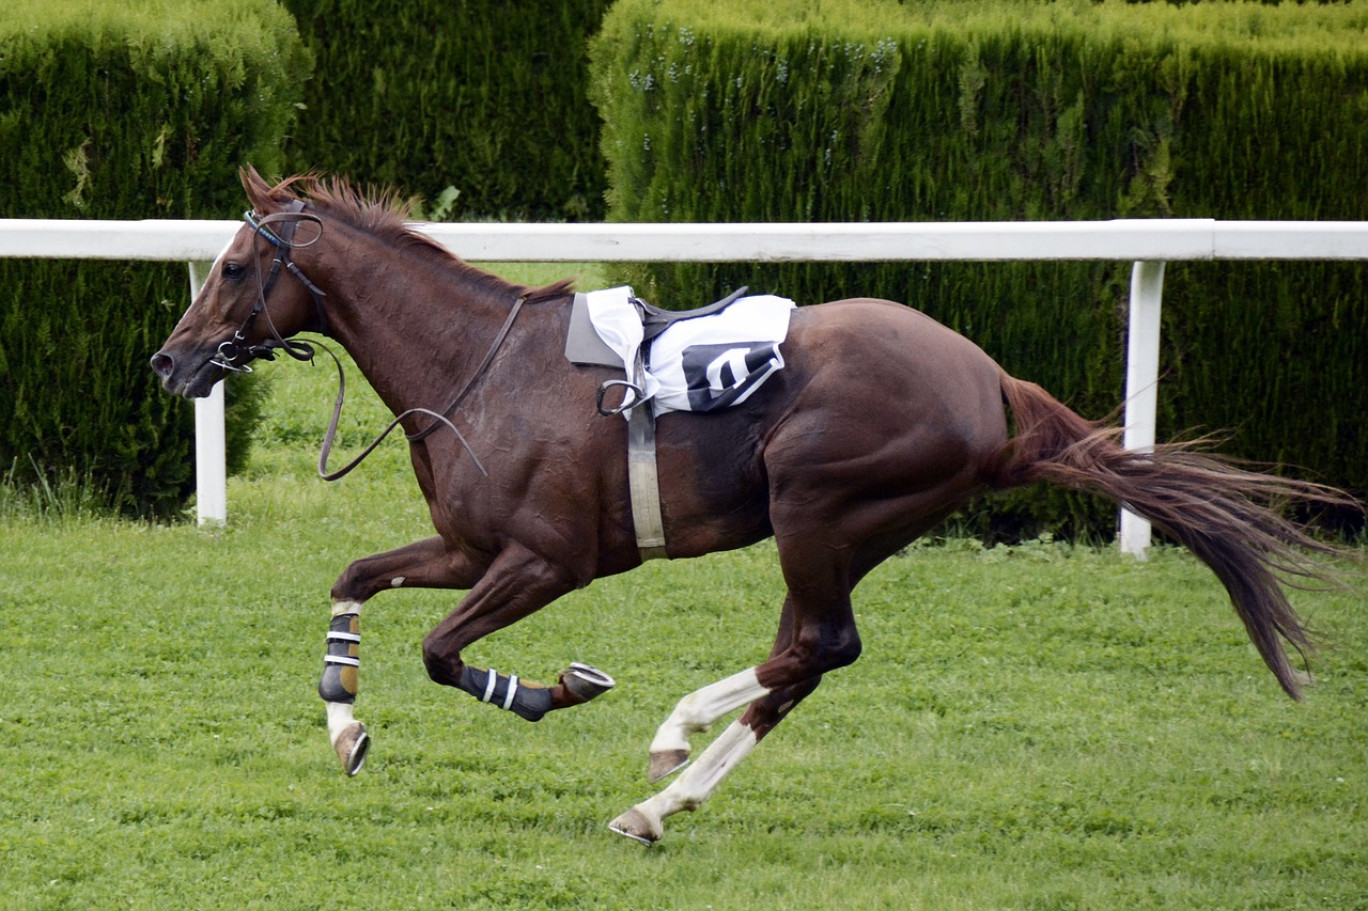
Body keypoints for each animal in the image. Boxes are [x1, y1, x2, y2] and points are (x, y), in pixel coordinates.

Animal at [155, 166, 1351, 842]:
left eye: (231, 267)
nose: (169, 362)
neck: (478, 366)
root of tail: (990, 382)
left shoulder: (548, 558)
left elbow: (445, 652)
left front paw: (555, 688)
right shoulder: (468, 543)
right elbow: (354, 579)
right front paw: (344, 724)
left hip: (819, 506)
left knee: (815, 646)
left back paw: (669, 744)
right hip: (840, 527)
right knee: (805, 658)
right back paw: (662, 795)